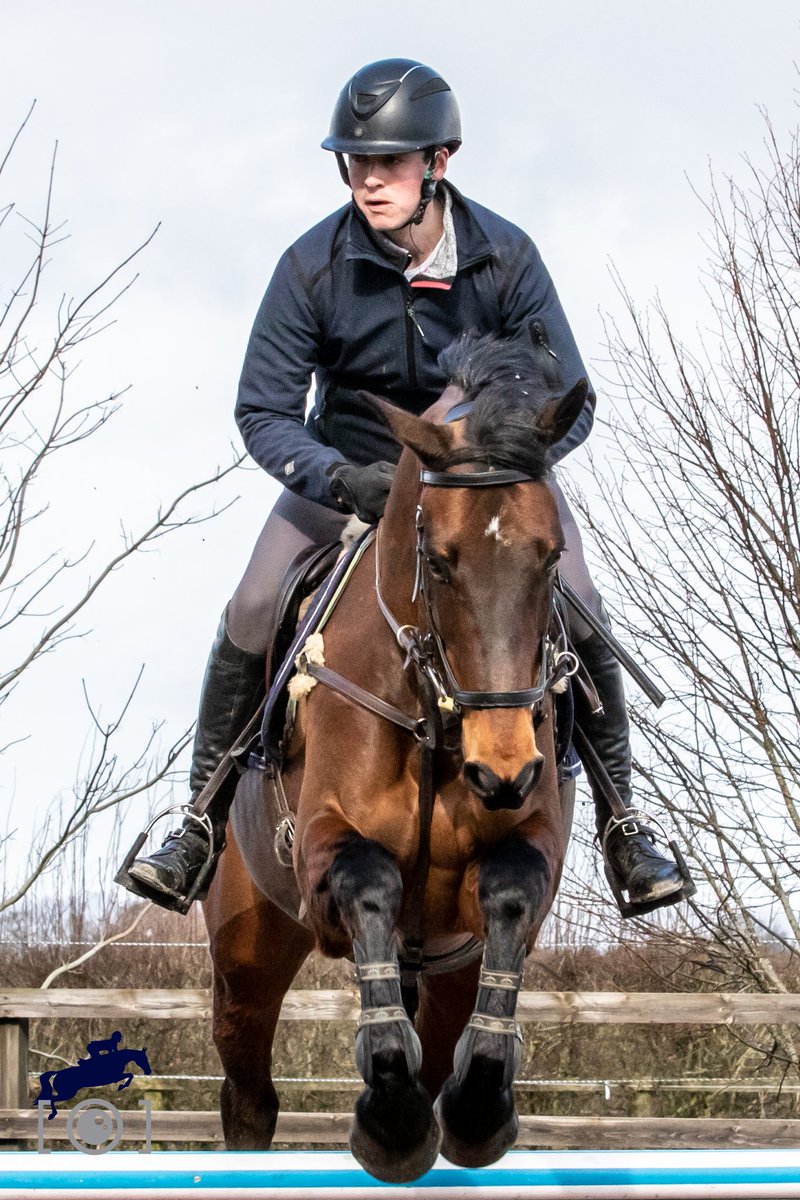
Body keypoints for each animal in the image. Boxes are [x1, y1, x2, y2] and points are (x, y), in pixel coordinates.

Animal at [203, 333, 587, 1183]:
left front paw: (476, 1110)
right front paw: (392, 1118)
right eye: (438, 561)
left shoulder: (527, 854)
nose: (503, 772)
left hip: (446, 969)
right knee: (249, 1096)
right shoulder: (322, 848)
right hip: (246, 954)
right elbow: (368, 878)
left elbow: (512, 890)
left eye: (551, 559)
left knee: (440, 1039)